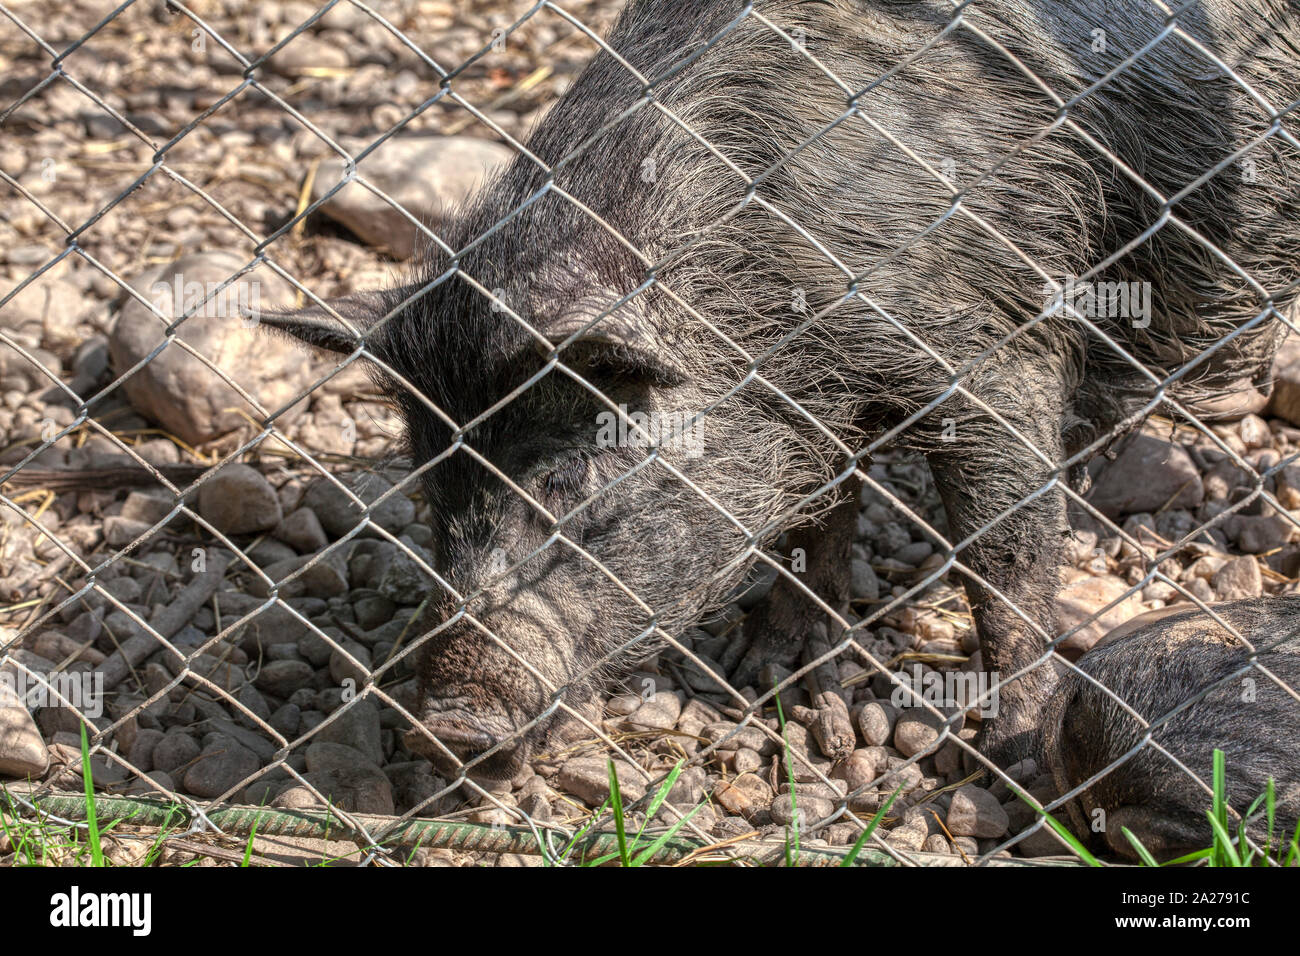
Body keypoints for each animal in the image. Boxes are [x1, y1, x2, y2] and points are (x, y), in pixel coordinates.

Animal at [261, 0, 1300, 778]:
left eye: (565, 477)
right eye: (435, 491)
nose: (450, 721)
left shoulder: (996, 351)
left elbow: (1002, 557)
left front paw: (1014, 753)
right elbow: (817, 516)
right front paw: (776, 679)